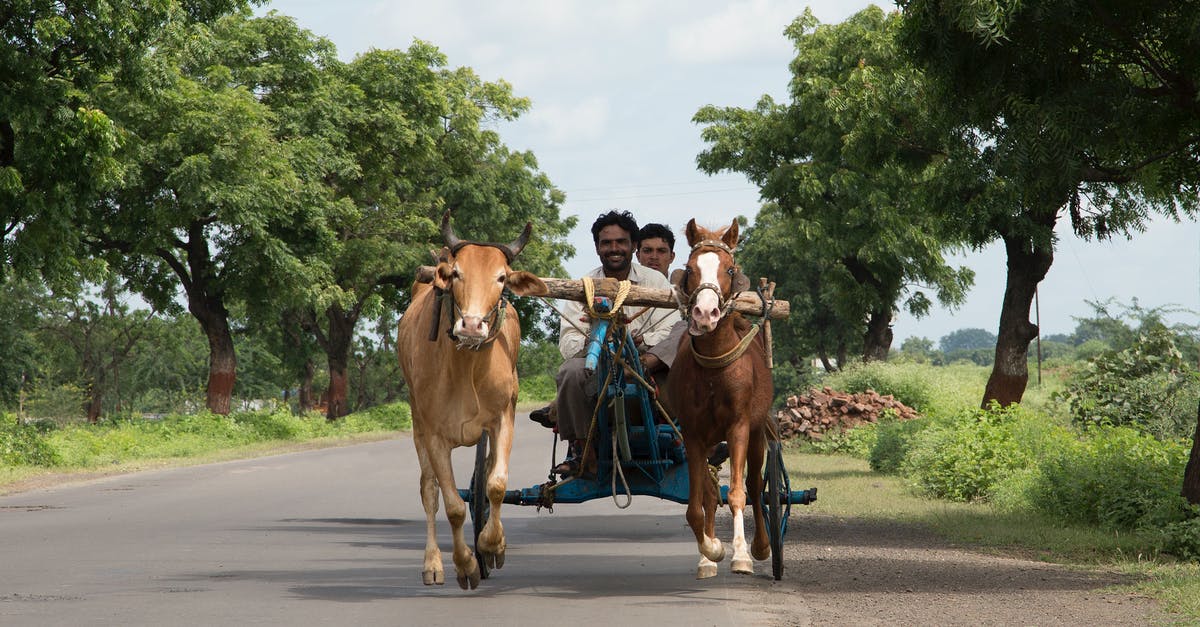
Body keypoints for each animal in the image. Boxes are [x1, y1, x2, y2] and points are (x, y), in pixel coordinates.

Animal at [667, 217, 768, 578]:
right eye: (689, 268)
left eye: (729, 268)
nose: (705, 312)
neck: (713, 369)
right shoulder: (692, 434)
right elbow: (697, 505)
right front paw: (711, 549)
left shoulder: (739, 427)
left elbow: (738, 493)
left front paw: (741, 555)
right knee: (710, 494)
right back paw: (707, 557)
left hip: (757, 432)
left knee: (755, 485)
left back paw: (761, 546)